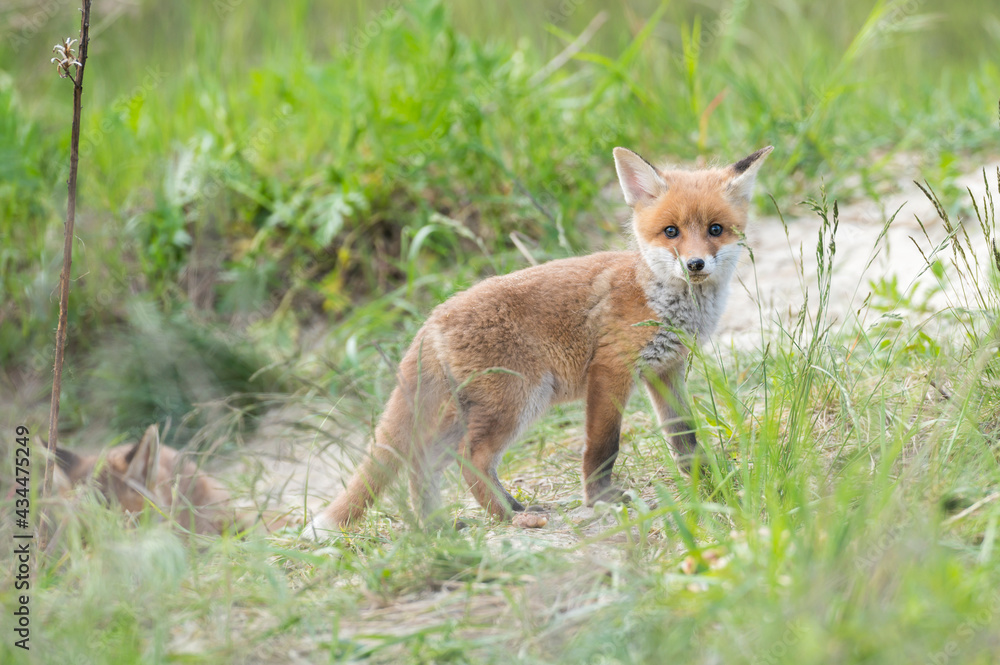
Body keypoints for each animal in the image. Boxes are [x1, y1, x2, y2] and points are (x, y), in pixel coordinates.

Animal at [306, 144, 772, 536]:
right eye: (671, 232)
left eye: (715, 229)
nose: (695, 265)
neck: (660, 298)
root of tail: (432, 318)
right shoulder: (611, 368)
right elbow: (603, 446)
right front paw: (600, 499)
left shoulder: (665, 369)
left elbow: (684, 438)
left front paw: (708, 484)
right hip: (517, 400)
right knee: (469, 460)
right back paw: (508, 518)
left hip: (468, 412)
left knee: (424, 463)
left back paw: (447, 524)